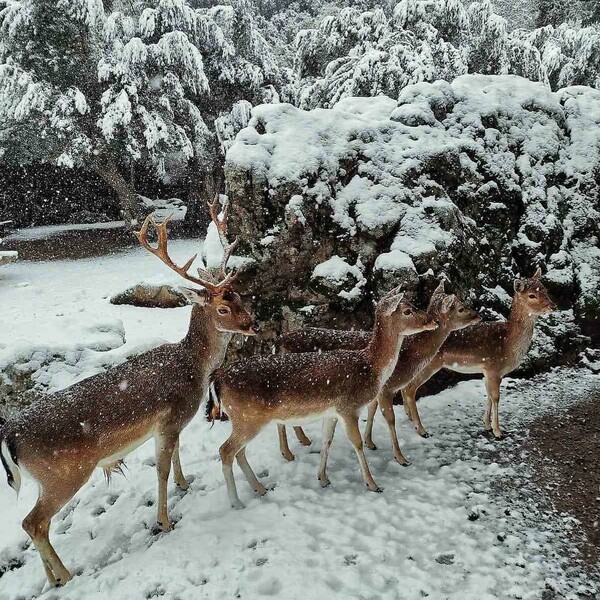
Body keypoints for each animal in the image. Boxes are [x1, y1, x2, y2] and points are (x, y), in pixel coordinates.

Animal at [0, 196, 255, 584]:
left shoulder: (171, 424)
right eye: (223, 308)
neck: (193, 366)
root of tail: (9, 433)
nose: (252, 324)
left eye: (240, 296)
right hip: (63, 472)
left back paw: (52, 577)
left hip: (47, 478)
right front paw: (165, 521)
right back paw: (67, 575)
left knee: (34, 523)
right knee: (33, 522)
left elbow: (176, 455)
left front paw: (185, 483)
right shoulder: (170, 418)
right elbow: (161, 469)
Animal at [206, 286, 436, 506]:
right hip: (247, 418)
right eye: (407, 310)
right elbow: (357, 443)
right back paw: (237, 502)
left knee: (239, 452)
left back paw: (260, 488)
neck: (371, 367)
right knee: (226, 450)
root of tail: (217, 379)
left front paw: (323, 478)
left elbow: (327, 441)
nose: (432, 321)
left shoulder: (331, 413)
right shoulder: (348, 408)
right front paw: (373, 484)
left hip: (243, 420)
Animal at [278, 284, 482, 462]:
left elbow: (372, 411)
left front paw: (370, 442)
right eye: (461, 308)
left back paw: (303, 440)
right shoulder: (387, 387)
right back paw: (288, 453)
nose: (478, 315)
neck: (409, 356)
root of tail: (278, 343)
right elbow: (389, 418)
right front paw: (401, 456)